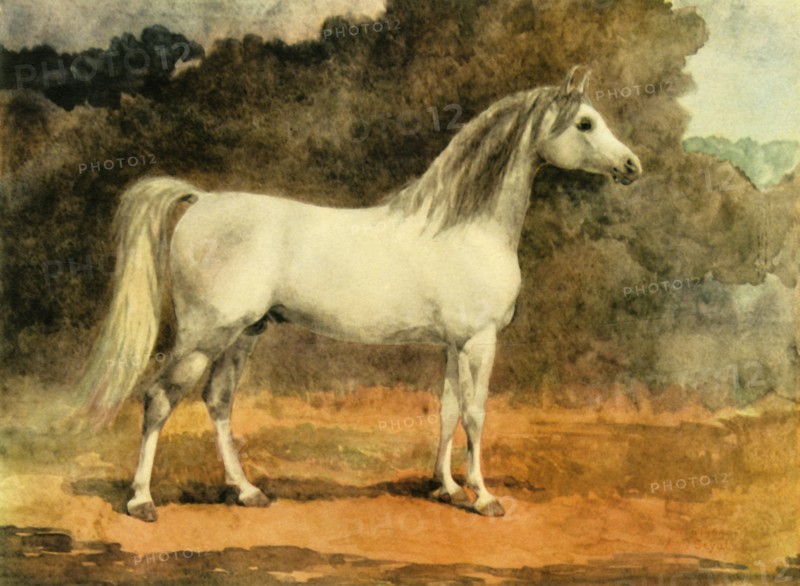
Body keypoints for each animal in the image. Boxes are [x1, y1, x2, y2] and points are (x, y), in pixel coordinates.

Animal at [75, 66, 641, 522]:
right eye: (585, 123)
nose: (633, 166)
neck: (464, 226)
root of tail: (202, 199)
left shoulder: (453, 344)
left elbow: (447, 410)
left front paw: (446, 487)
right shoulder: (479, 341)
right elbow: (476, 413)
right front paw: (483, 497)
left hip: (243, 333)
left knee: (217, 401)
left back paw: (247, 491)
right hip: (206, 334)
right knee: (159, 399)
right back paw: (141, 501)